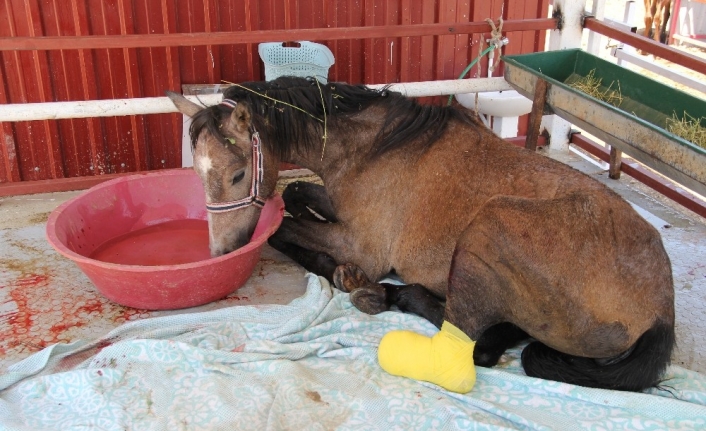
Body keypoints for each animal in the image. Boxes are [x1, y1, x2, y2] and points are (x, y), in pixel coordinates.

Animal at [168, 76, 672, 394]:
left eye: (237, 175)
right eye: (198, 174)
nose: (223, 250)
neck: (377, 146)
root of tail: (660, 310)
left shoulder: (360, 244)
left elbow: (284, 230)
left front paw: (340, 271)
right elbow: (294, 197)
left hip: (490, 226)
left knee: (474, 346)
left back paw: (379, 293)